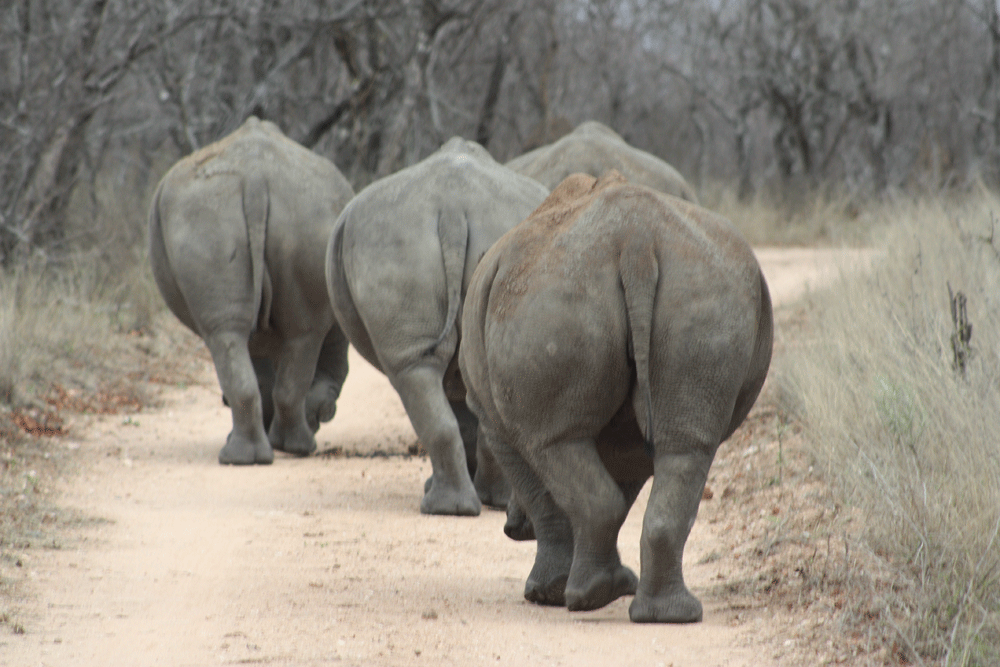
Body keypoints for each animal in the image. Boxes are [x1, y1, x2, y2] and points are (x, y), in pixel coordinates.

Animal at [149, 117, 355, 465]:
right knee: (283, 334)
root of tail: (257, 177)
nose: (320, 418)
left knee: (235, 334)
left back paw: (257, 454)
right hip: (283, 216)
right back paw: (280, 451)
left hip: (212, 216)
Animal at [325, 137, 549, 516]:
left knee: (414, 369)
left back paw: (448, 506)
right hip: (406, 241)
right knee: (423, 367)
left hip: (391, 240)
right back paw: (472, 505)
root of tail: (453, 210)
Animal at [459, 171, 772, 622]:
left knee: (555, 442)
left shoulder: (492, 421)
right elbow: (622, 484)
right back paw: (662, 612)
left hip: (549, 295)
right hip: (703, 290)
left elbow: (543, 495)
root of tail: (637, 242)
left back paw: (589, 596)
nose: (510, 529)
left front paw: (545, 593)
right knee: (685, 446)